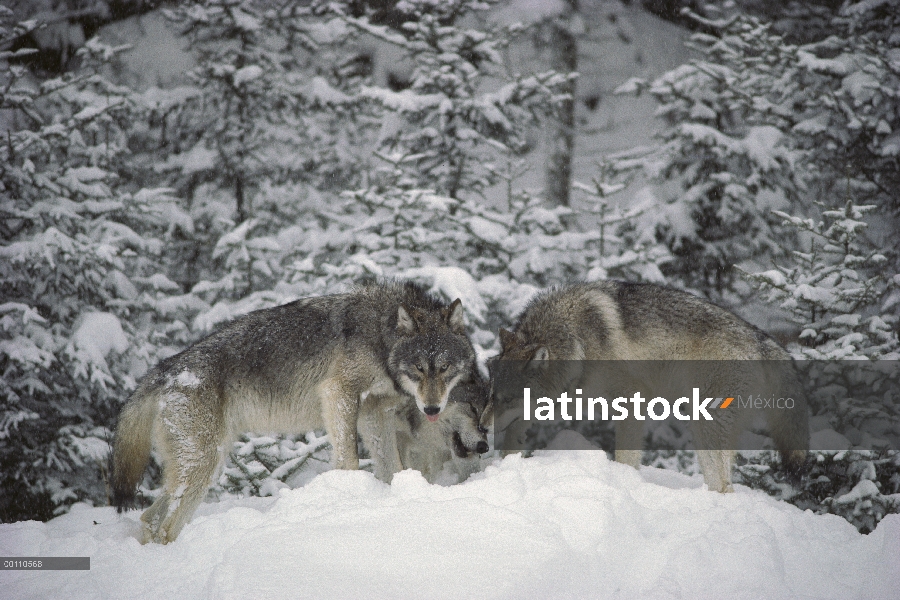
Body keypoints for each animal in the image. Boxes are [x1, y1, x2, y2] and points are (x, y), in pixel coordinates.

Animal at [114, 282, 492, 544]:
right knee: (163, 525)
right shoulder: (338, 392)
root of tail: (163, 370)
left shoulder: (374, 413)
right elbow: (349, 459)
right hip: (202, 466)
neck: (381, 337)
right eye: (419, 368)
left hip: (206, 467)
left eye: (444, 369)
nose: (431, 408)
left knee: (149, 518)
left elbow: (393, 468)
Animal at [488, 280, 812, 492]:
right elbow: (516, 434)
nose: (481, 432)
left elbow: (626, 456)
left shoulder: (633, 398)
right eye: (492, 397)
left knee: (723, 483)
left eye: (507, 399)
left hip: (705, 424)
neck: (576, 340)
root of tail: (761, 339)